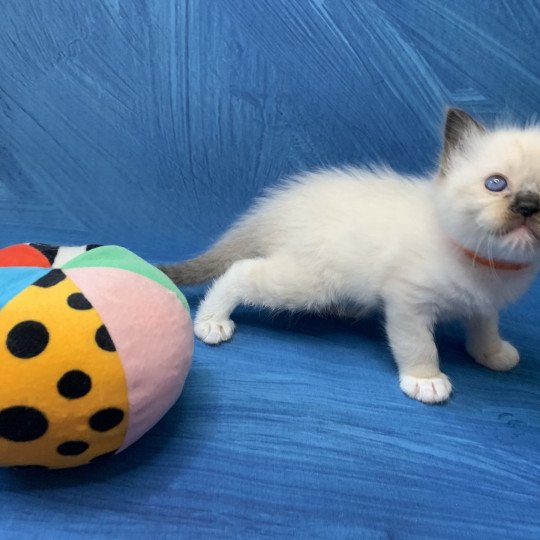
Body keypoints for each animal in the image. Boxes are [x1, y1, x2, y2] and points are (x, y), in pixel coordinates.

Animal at [162, 109, 540, 402]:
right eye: (496, 184)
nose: (527, 206)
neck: (487, 265)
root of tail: (276, 208)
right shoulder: (407, 301)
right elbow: (418, 344)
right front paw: (425, 380)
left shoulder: (484, 304)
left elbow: (485, 327)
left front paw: (492, 353)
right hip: (310, 283)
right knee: (241, 269)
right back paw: (211, 322)